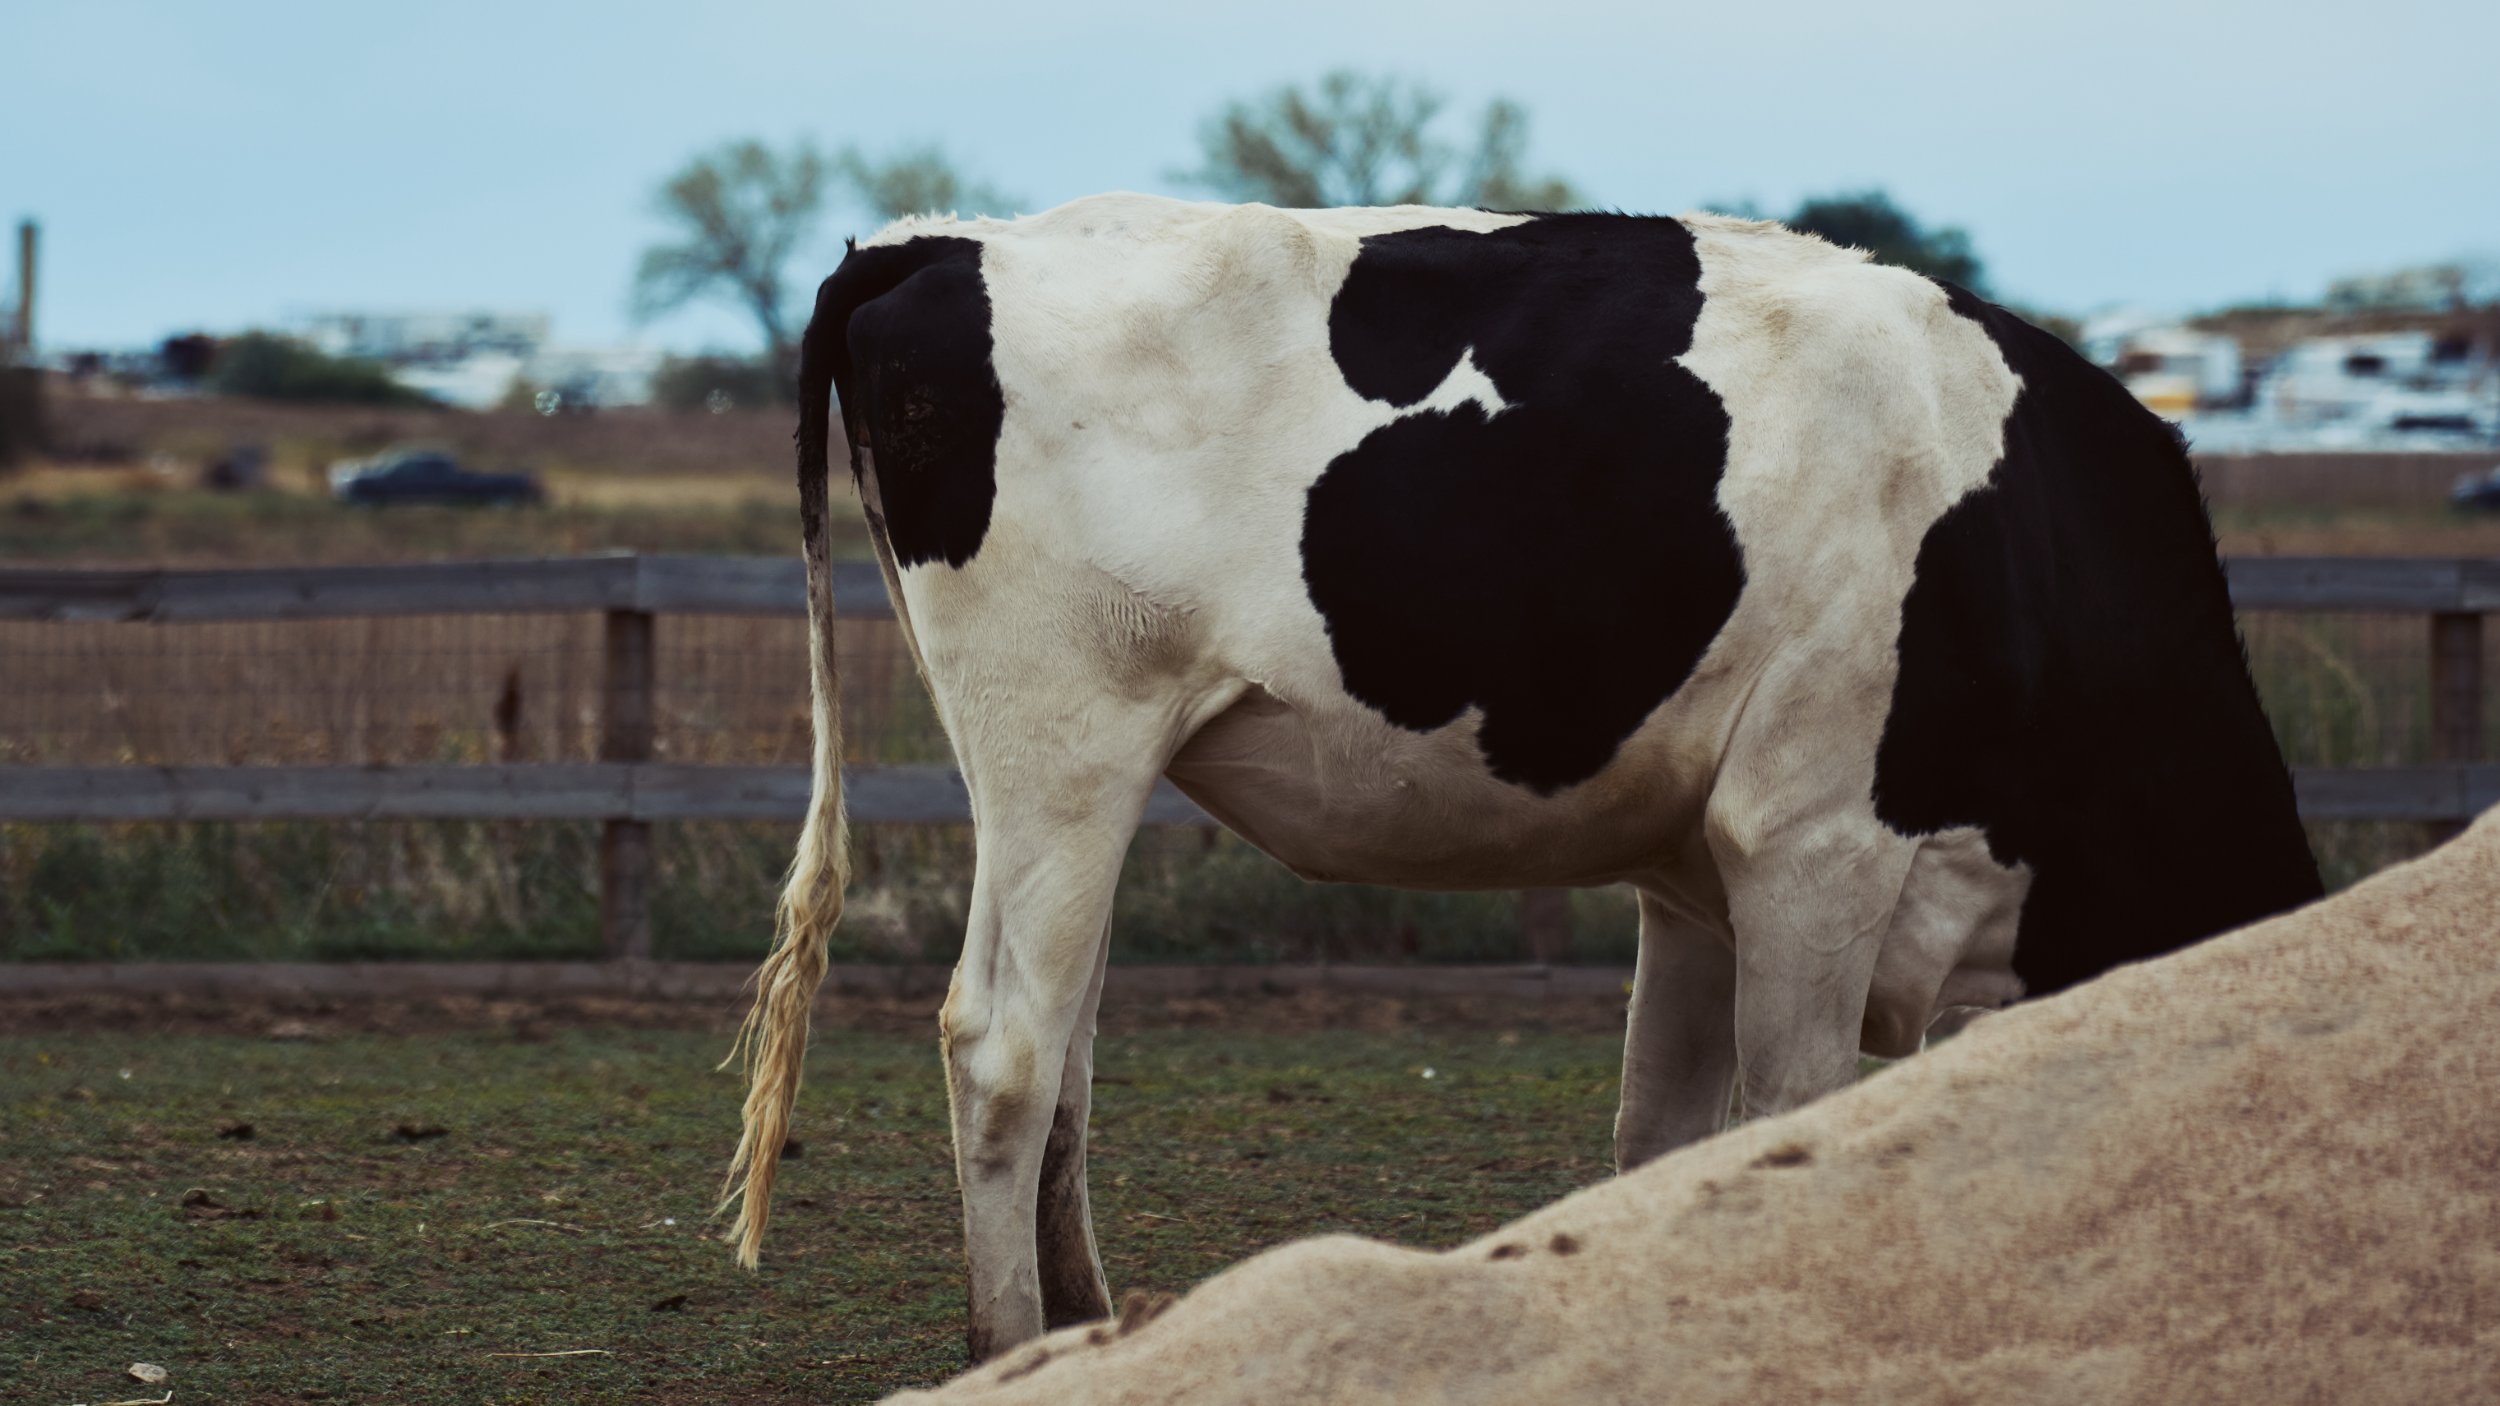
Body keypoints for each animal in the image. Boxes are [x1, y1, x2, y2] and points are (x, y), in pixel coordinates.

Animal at [719, 194, 2325, 1360]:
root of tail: (944, 241)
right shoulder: (1815, 838)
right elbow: (1788, 1110)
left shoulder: (1697, 877)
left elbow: (1659, 1136)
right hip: (1062, 746)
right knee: (1003, 1045)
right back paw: (1010, 1347)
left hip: (1078, 779)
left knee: (1069, 1056)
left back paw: (1091, 1328)